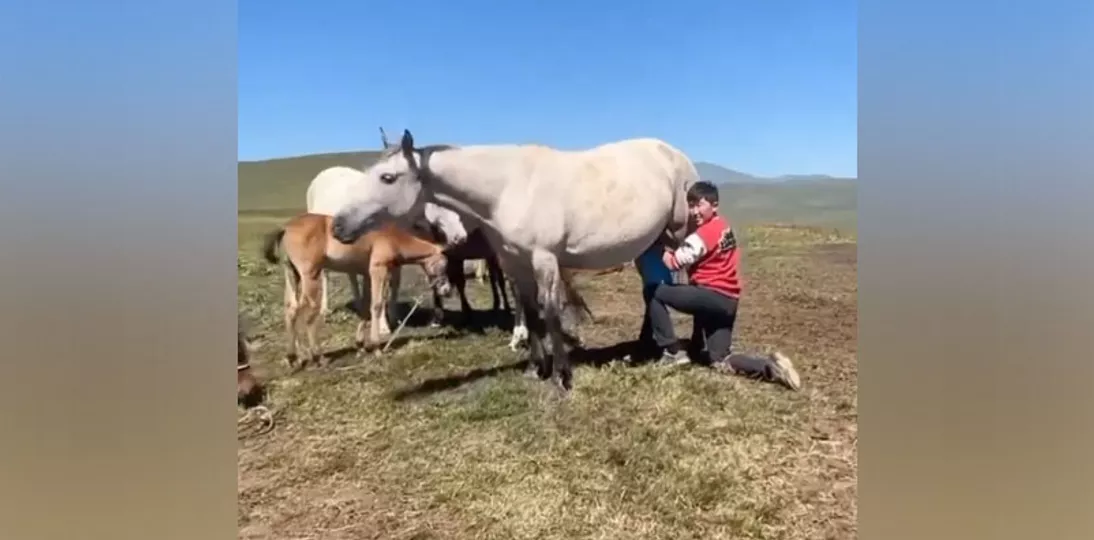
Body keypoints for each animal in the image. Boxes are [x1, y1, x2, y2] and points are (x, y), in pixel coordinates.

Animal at [328, 130, 695, 391]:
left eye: (388, 177)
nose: (338, 225)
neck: (508, 187)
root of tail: (672, 152)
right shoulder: (514, 262)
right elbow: (530, 312)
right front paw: (535, 368)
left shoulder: (545, 259)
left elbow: (550, 311)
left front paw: (562, 375)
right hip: (650, 244)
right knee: (653, 289)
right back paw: (646, 344)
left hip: (678, 233)